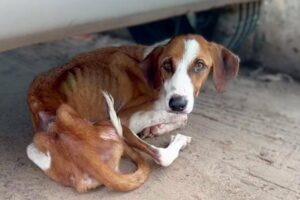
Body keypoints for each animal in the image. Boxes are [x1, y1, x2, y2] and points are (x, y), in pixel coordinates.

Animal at [27, 34, 240, 192]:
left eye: (199, 65)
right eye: (167, 65)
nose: (177, 103)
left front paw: (157, 128)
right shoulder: (127, 116)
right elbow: (180, 116)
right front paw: (165, 122)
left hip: (34, 148)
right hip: (113, 124)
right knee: (161, 156)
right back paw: (179, 139)